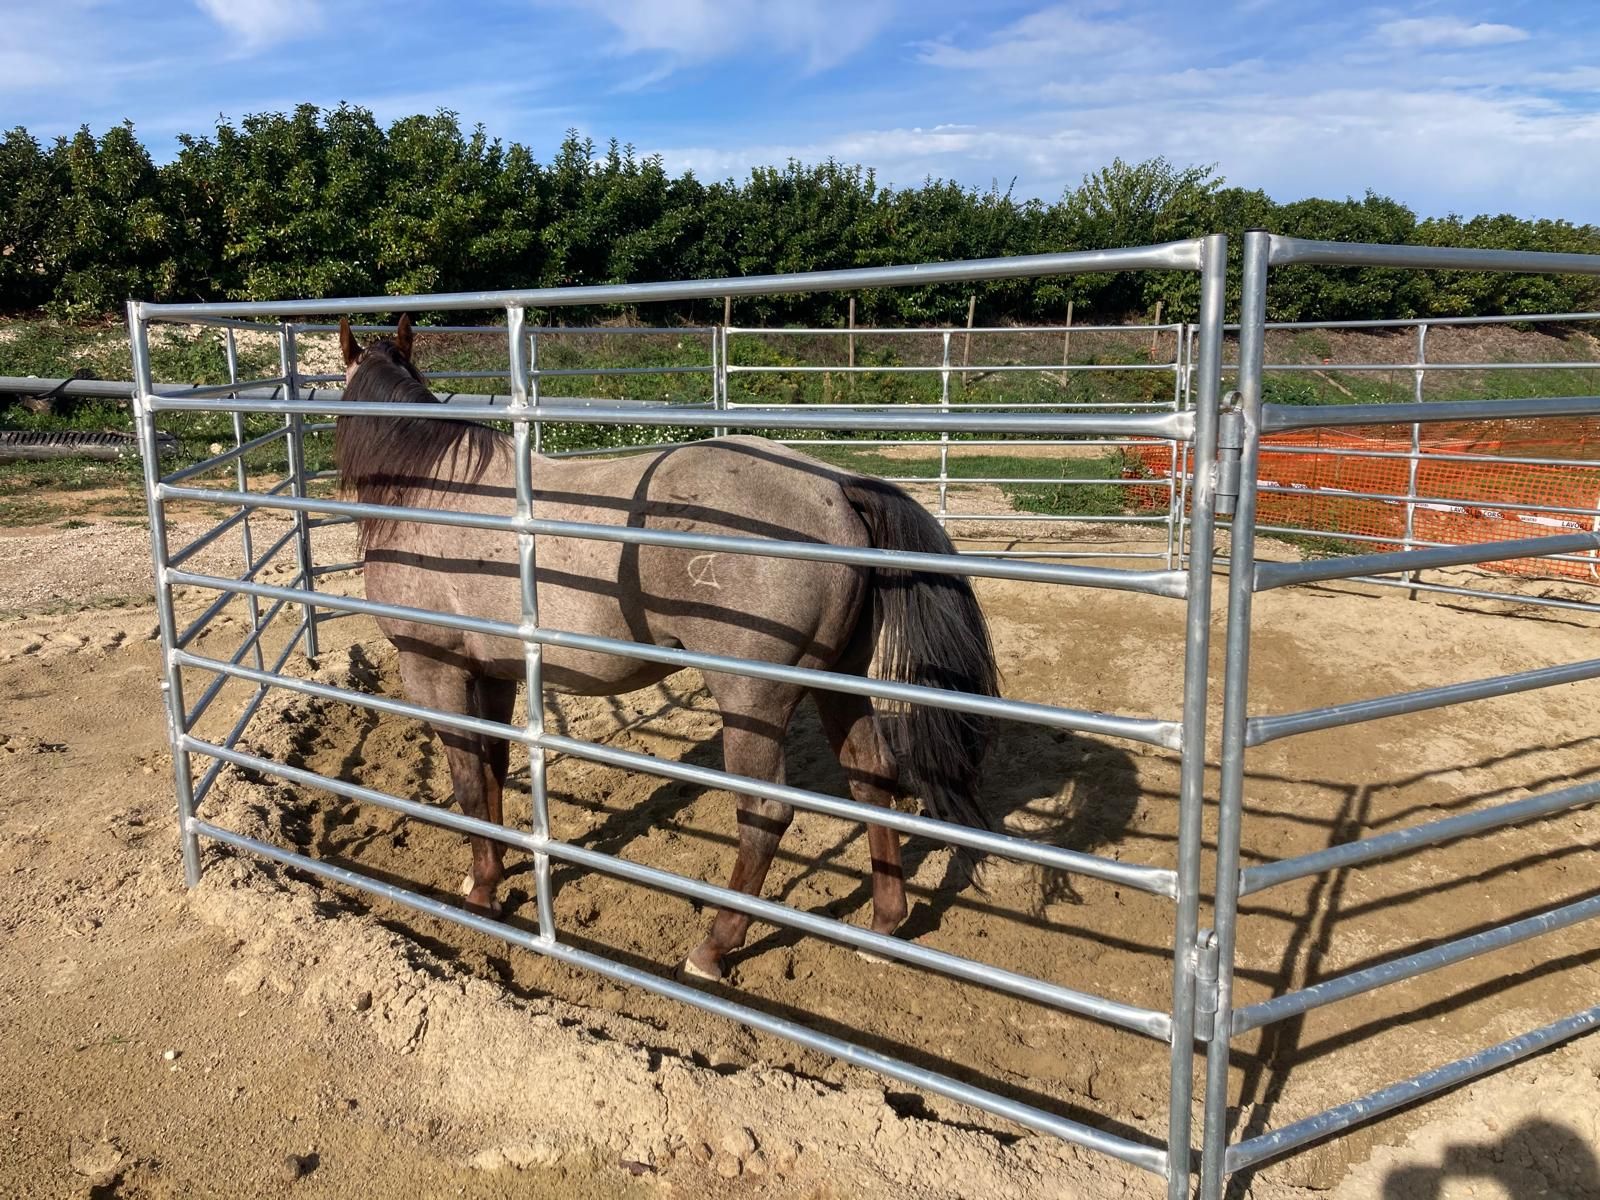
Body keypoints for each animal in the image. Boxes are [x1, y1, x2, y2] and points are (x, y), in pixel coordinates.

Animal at [333, 315, 999, 981]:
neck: (429, 490)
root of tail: (837, 490)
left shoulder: (432, 667)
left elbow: (470, 782)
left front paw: (481, 892)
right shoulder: (493, 671)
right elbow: (494, 772)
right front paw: (496, 872)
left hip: (752, 700)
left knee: (766, 814)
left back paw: (713, 948)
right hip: (840, 680)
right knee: (872, 779)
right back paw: (882, 927)